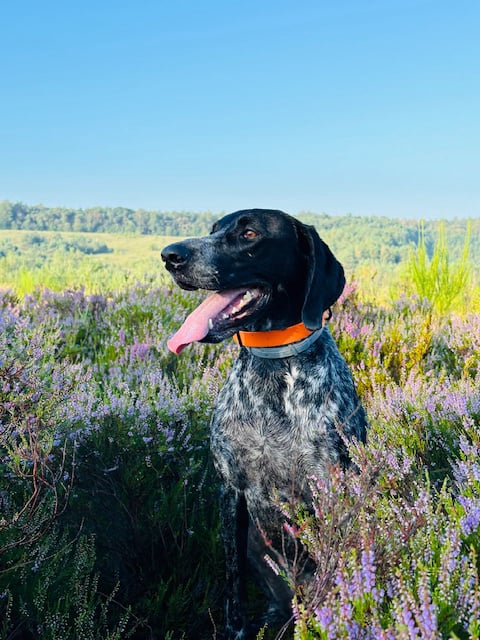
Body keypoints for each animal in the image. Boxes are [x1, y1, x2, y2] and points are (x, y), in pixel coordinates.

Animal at [162, 209, 367, 639]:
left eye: (250, 234)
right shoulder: (232, 491)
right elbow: (232, 586)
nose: (170, 255)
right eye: (213, 230)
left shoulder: (329, 490)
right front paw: (236, 629)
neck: (272, 365)